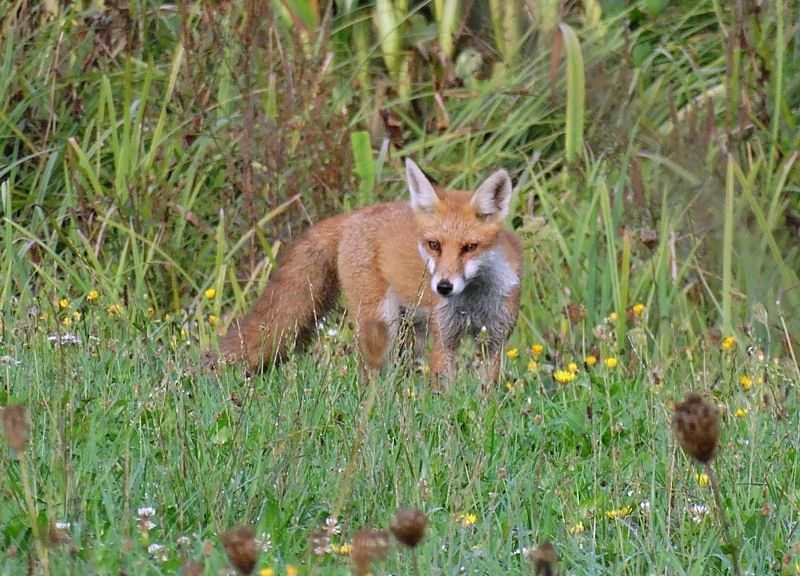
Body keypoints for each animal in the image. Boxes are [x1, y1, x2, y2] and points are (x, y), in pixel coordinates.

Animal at [211, 160, 524, 384]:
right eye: (434, 245)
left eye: (470, 247)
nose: (443, 287)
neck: (474, 301)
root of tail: (351, 216)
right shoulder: (444, 340)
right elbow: (443, 393)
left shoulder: (494, 342)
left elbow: (486, 395)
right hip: (381, 324)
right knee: (368, 376)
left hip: (412, 332)